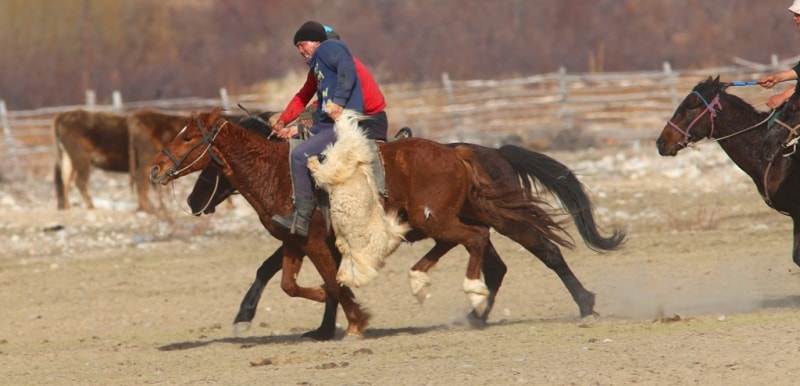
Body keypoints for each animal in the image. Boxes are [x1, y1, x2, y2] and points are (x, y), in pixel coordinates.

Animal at [150, 108, 624, 338]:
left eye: (189, 138)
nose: (157, 170)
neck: (281, 171)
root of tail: (461, 152)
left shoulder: (314, 241)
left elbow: (325, 280)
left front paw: (351, 319)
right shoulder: (297, 241)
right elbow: (289, 281)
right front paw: (324, 324)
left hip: (451, 218)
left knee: (522, 248)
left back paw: (578, 305)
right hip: (469, 213)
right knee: (501, 256)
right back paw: (478, 310)